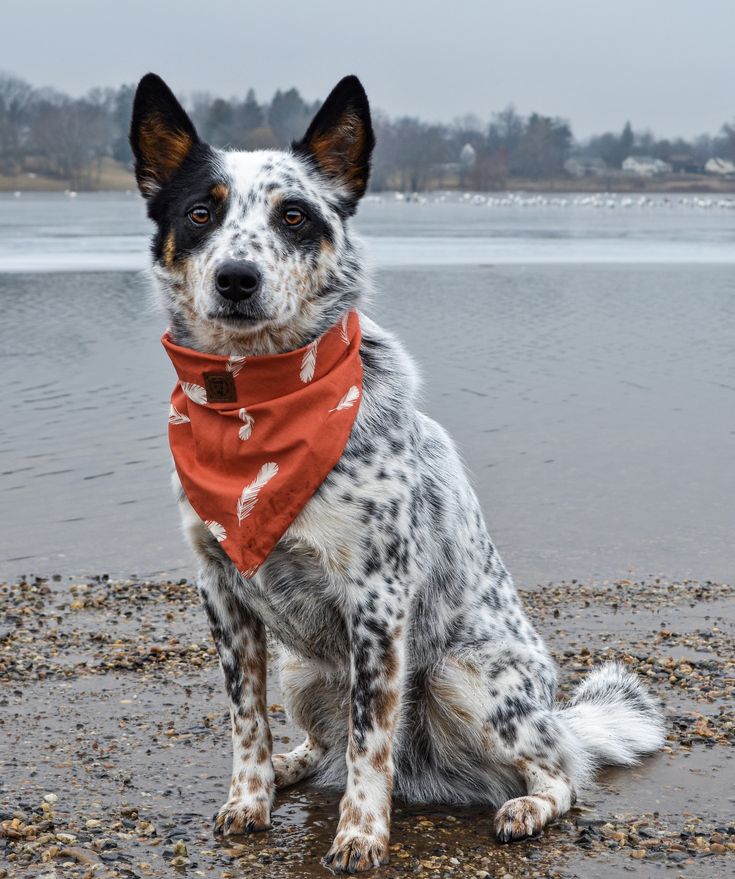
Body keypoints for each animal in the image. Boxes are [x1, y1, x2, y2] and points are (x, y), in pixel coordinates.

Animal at [129, 72, 664, 868]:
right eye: (201, 212)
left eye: (293, 216)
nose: (236, 278)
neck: (256, 399)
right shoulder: (222, 593)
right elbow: (246, 721)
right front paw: (250, 797)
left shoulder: (377, 604)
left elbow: (367, 742)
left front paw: (360, 833)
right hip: (304, 670)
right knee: (317, 742)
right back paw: (290, 766)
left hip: (463, 676)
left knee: (561, 771)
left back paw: (527, 805)